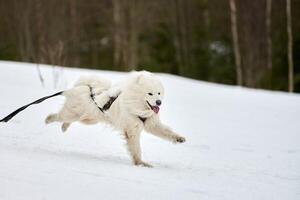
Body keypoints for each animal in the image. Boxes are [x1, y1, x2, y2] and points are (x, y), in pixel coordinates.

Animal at [45, 71, 185, 168]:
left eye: (159, 93)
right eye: (150, 93)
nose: (159, 102)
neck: (137, 105)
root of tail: (85, 86)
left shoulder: (151, 123)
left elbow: (166, 132)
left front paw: (179, 138)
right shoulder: (132, 129)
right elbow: (136, 149)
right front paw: (141, 163)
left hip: (89, 119)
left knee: (70, 120)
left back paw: (64, 127)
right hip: (74, 113)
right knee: (59, 116)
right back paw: (48, 119)